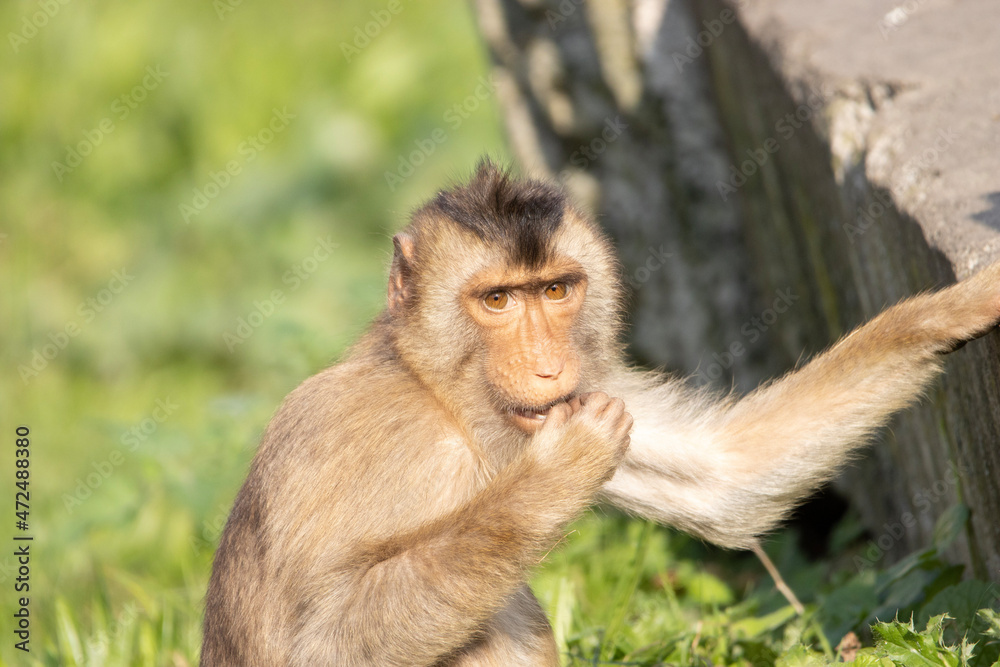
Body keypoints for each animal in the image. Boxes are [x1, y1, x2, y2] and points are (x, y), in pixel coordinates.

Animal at [201, 159, 1000, 666]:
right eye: (497, 299)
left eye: (556, 290)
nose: (550, 367)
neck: (444, 399)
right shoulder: (371, 445)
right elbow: (324, 644)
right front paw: (556, 474)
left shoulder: (597, 389)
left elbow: (726, 478)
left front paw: (953, 308)